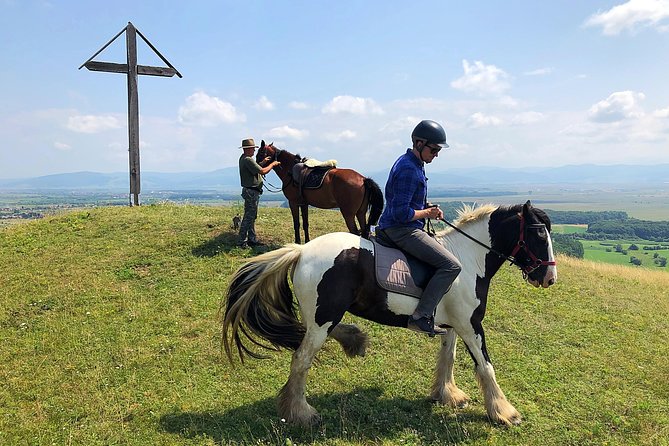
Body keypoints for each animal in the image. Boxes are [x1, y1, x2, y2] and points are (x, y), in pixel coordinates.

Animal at [222, 201, 556, 426]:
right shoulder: (471, 325)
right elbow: (486, 367)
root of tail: (301, 251)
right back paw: (301, 413)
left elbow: (448, 358)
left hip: (320, 316)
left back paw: (354, 339)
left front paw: (447, 394)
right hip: (322, 318)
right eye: (540, 236)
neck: (467, 259)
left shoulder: (452, 324)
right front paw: (504, 412)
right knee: (301, 360)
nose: (549, 278)